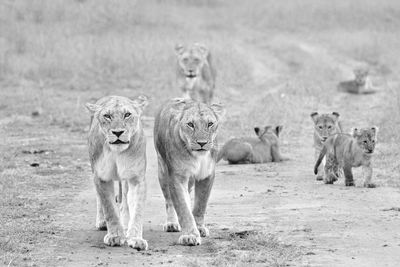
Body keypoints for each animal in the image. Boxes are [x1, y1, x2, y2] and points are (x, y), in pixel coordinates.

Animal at [86, 96, 149, 251]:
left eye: (127, 114)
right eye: (107, 116)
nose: (118, 132)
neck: (117, 153)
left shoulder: (136, 178)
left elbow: (137, 210)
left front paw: (135, 238)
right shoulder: (101, 177)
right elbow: (109, 208)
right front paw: (115, 236)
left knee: (125, 199)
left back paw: (126, 224)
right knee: (100, 200)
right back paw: (102, 222)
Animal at [154, 98, 225, 247]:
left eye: (210, 124)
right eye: (190, 124)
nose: (202, 143)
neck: (198, 157)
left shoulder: (207, 175)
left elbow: (200, 204)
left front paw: (199, 228)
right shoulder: (177, 177)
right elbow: (183, 208)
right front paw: (190, 235)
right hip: (162, 170)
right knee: (169, 201)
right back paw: (171, 223)